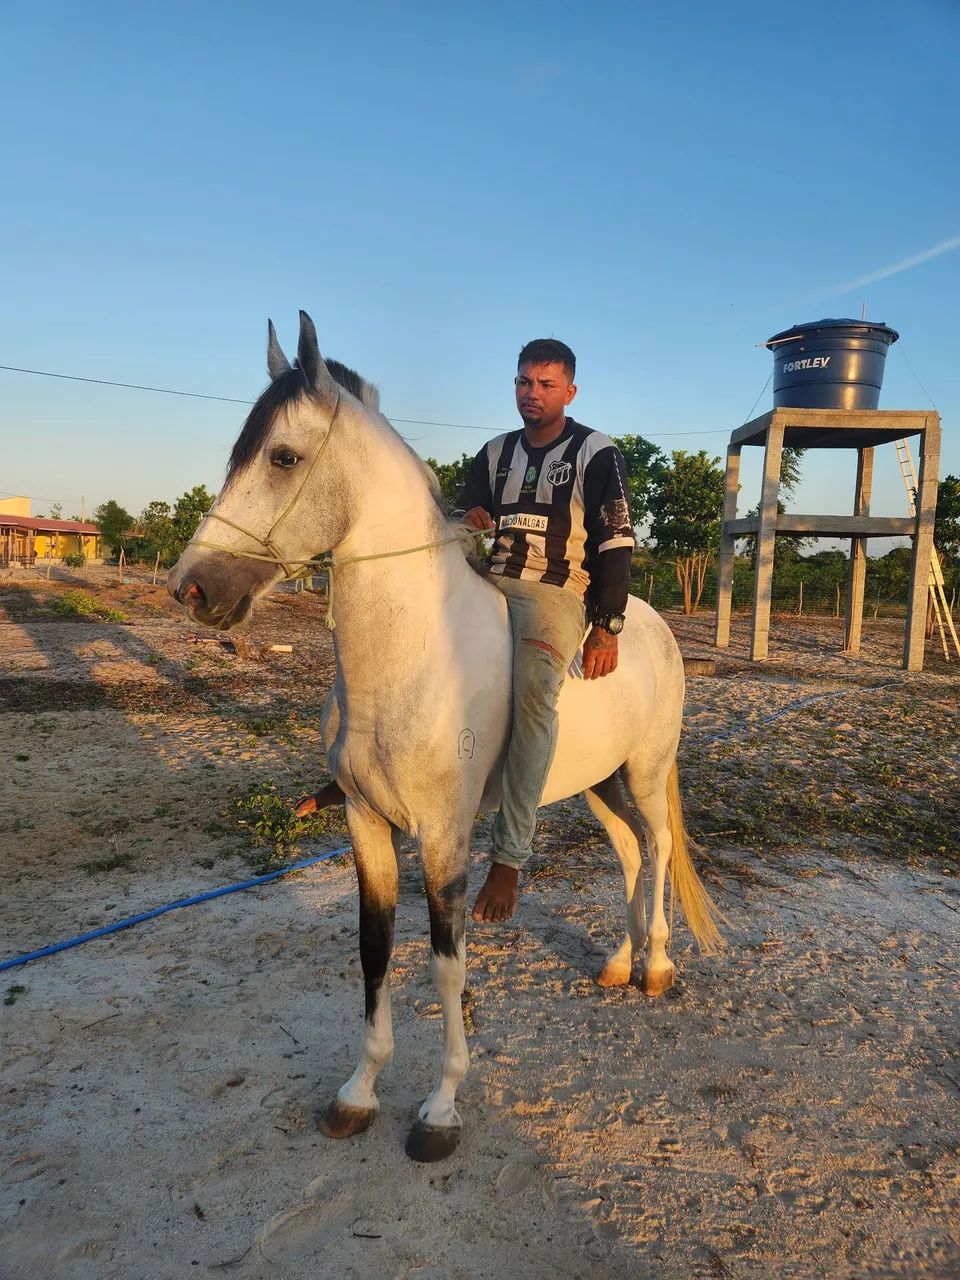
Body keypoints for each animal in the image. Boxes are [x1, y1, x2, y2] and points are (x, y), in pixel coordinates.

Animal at [168, 311, 723, 1162]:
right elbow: (373, 953)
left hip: (645, 769)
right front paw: (359, 1092)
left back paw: (657, 965)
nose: (193, 588)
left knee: (659, 850)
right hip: (598, 783)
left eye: (282, 455)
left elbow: (445, 968)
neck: (408, 663)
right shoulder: (367, 826)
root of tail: (650, 627)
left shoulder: (443, 838)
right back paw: (620, 963)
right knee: (632, 852)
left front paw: (441, 1108)